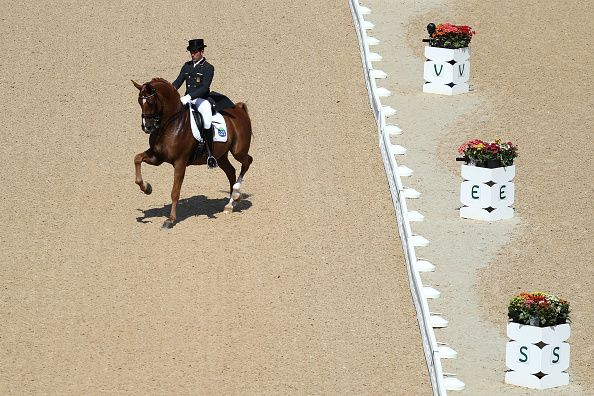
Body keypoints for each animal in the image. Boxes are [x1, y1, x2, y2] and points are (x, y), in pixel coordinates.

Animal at [132, 77, 252, 227]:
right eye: (139, 101)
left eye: (151, 102)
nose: (147, 127)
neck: (170, 124)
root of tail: (239, 109)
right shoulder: (157, 157)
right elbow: (137, 158)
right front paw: (147, 188)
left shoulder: (180, 162)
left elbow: (175, 191)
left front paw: (170, 219)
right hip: (221, 156)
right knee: (231, 171)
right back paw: (230, 204)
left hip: (238, 151)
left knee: (247, 162)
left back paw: (236, 193)